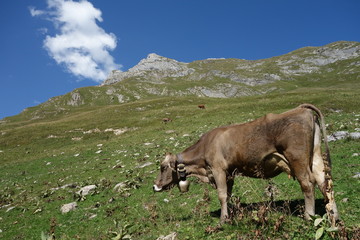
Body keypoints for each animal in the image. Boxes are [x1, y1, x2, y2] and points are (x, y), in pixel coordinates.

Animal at [153, 103, 338, 225]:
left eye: (163, 167)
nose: (155, 186)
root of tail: (302, 109)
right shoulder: (229, 174)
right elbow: (227, 195)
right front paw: (230, 215)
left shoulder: (218, 169)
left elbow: (221, 195)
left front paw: (223, 220)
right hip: (315, 156)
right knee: (324, 182)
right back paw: (334, 216)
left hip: (297, 158)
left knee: (307, 183)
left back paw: (309, 216)